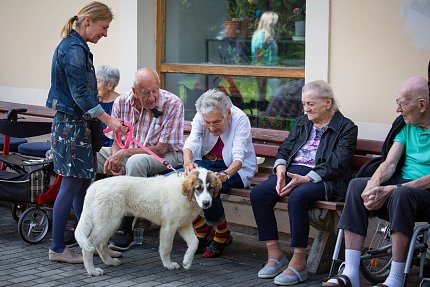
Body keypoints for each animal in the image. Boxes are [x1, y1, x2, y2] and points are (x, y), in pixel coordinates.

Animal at [74, 168, 222, 278]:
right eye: (198, 188)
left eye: (211, 188)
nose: (206, 203)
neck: (185, 195)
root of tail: (94, 186)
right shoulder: (169, 226)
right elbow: (166, 248)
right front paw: (168, 264)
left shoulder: (184, 224)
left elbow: (194, 242)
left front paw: (187, 261)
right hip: (108, 221)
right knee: (89, 245)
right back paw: (92, 271)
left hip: (110, 222)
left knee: (100, 244)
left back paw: (110, 261)